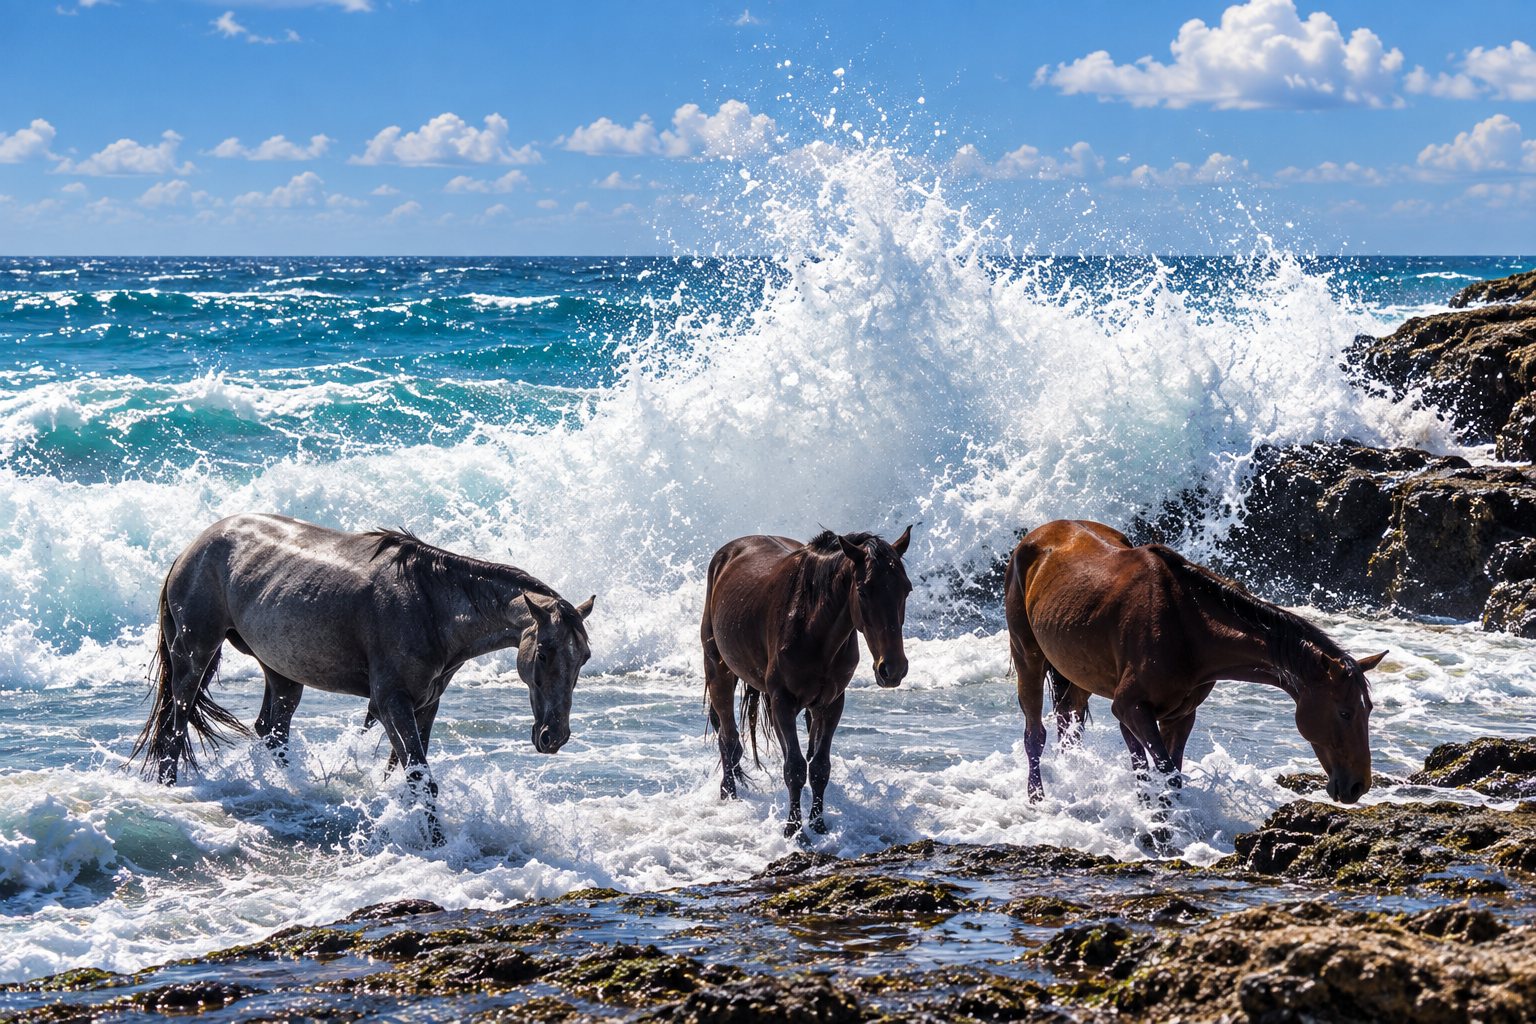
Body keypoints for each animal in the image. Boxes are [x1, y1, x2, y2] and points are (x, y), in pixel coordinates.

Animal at [133, 513, 594, 844]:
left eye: (585, 657)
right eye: (545, 652)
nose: (553, 736)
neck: (431, 604)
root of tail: (191, 549)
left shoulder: (425, 705)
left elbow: (407, 775)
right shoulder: (392, 703)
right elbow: (422, 780)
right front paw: (437, 844)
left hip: (281, 672)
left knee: (271, 730)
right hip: (194, 654)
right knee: (175, 725)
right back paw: (171, 788)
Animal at [703, 526, 913, 837]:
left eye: (906, 589)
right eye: (863, 590)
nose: (893, 669)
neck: (813, 628)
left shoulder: (832, 703)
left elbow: (819, 766)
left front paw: (818, 823)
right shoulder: (783, 701)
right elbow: (795, 767)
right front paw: (795, 830)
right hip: (719, 670)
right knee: (728, 739)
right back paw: (729, 795)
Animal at [1004, 520, 1384, 805]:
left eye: (1368, 710)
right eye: (1345, 712)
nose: (1358, 786)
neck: (1187, 628)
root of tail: (1037, 536)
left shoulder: (1179, 715)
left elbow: (1164, 775)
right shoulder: (1130, 707)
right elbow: (1160, 773)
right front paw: (1159, 834)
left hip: (1078, 675)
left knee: (1070, 727)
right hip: (1028, 658)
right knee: (1035, 734)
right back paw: (1037, 799)